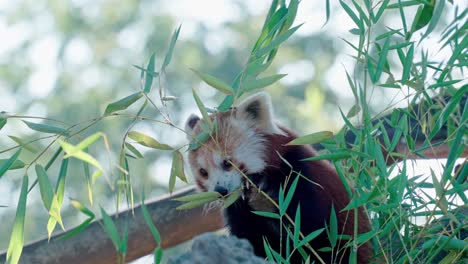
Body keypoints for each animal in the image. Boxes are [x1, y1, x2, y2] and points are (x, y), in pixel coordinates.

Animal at [185, 92, 372, 262]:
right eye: (203, 172)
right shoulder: (238, 210)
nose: (221, 191)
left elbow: (309, 231)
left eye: (227, 163)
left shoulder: (301, 177)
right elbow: (255, 241)